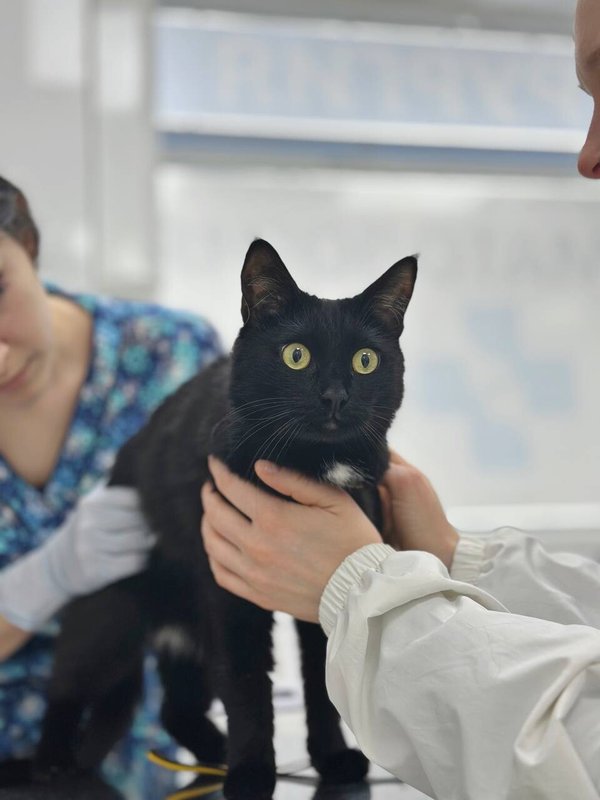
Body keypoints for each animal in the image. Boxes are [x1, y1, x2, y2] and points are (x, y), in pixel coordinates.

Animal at [34, 239, 417, 800]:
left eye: (365, 361)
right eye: (296, 355)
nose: (334, 396)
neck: (312, 465)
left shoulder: (322, 586)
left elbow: (319, 680)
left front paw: (331, 759)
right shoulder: (229, 591)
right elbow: (246, 680)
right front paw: (252, 773)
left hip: (189, 639)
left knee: (174, 708)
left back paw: (215, 752)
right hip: (112, 616)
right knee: (64, 684)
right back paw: (53, 760)